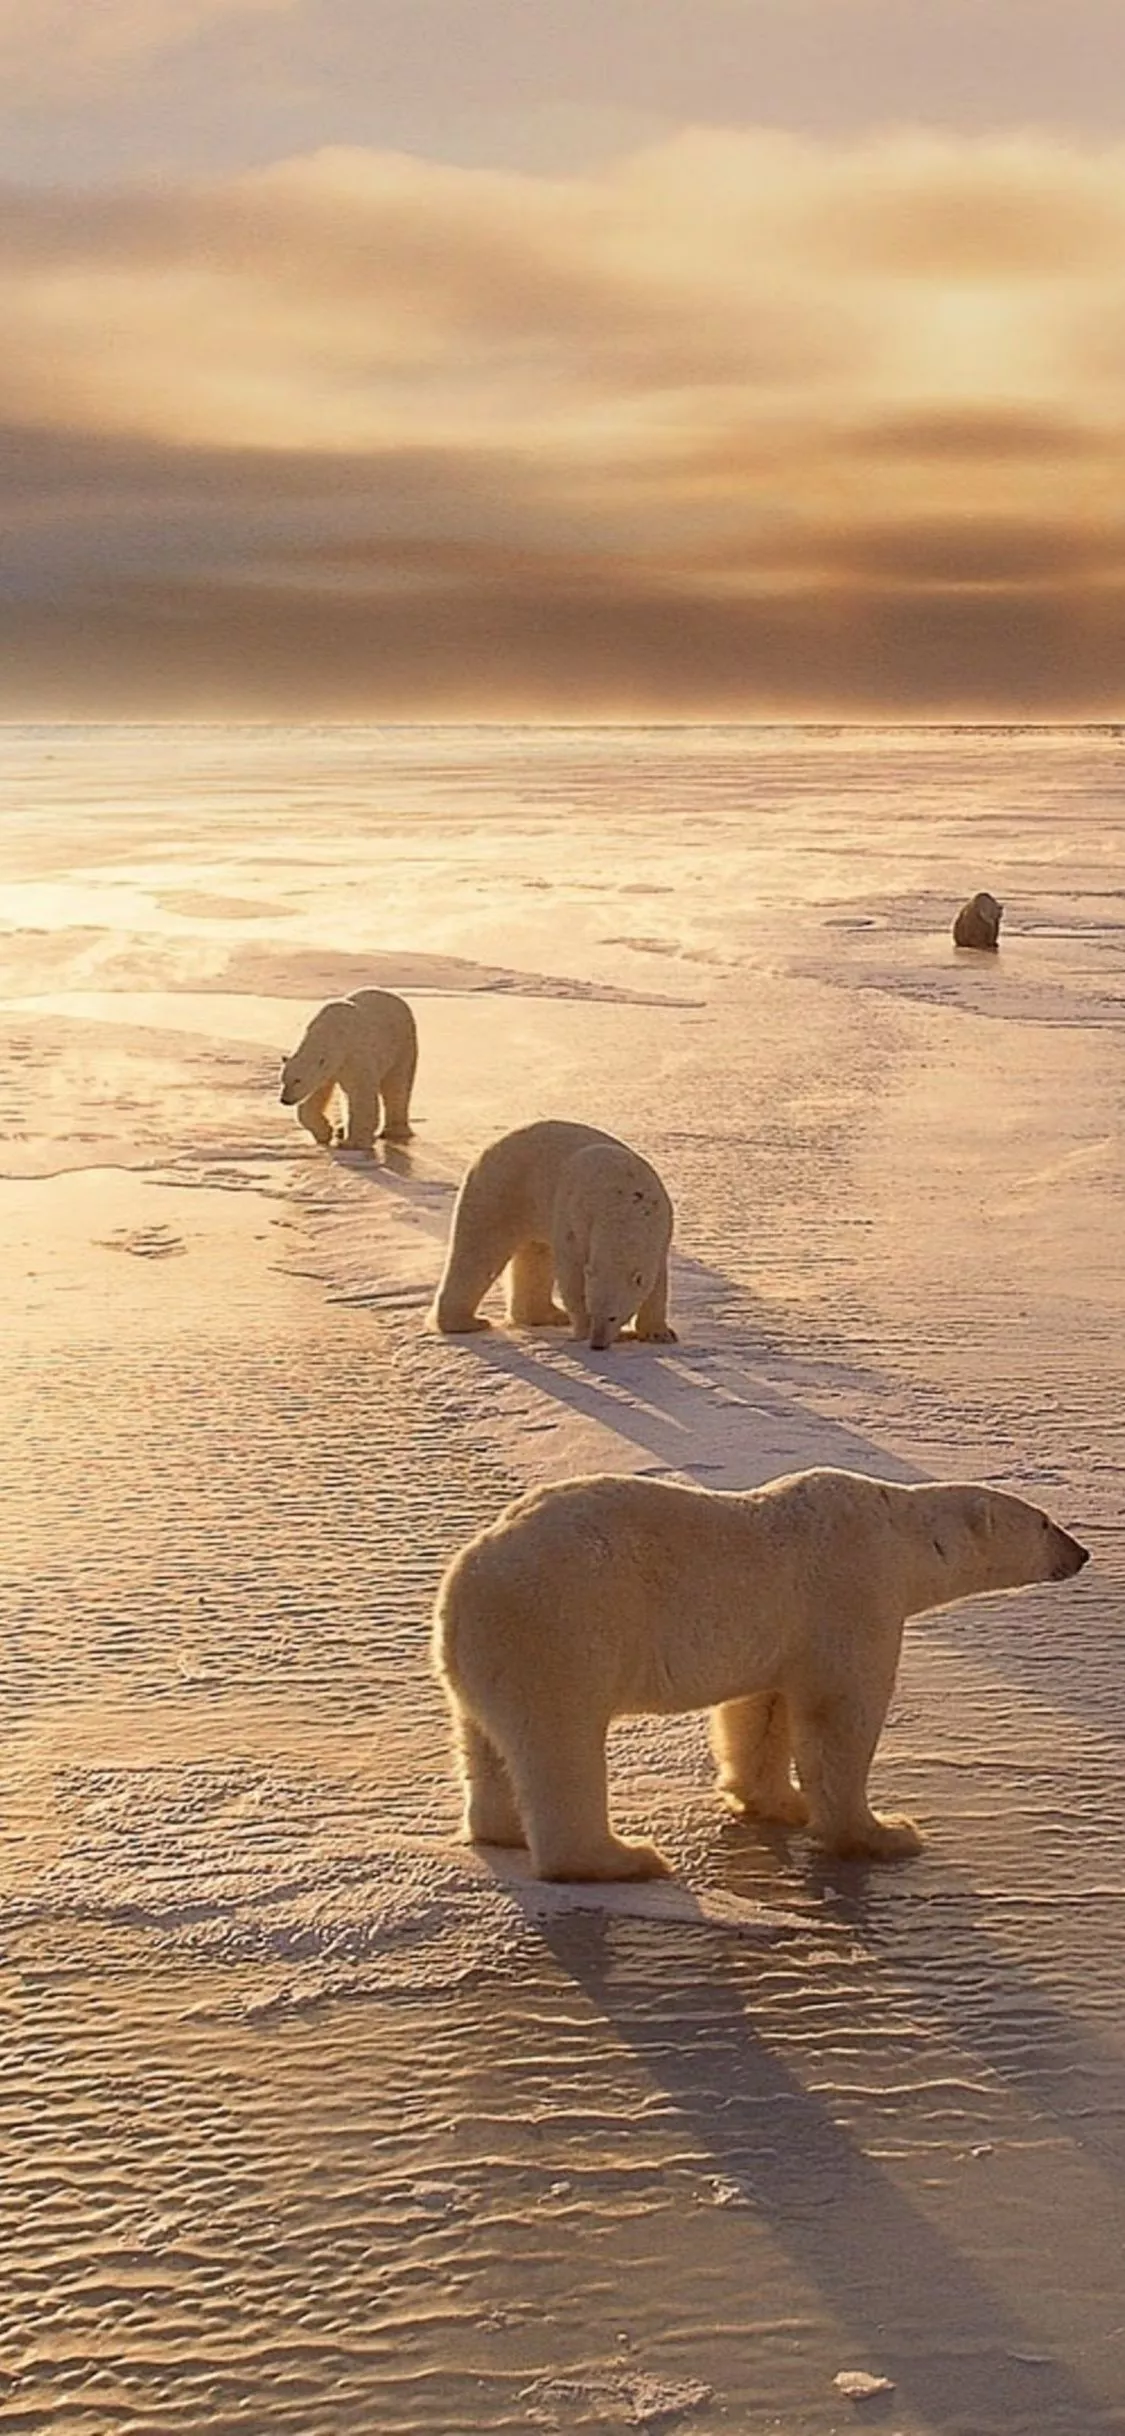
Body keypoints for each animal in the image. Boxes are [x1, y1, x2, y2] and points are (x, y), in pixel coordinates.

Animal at [279, 988, 417, 1152]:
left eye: (298, 1080)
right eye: (283, 1080)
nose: (285, 1100)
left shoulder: (354, 1054)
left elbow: (360, 1092)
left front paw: (354, 1142)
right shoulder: (330, 1069)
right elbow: (317, 1095)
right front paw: (325, 1132)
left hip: (402, 1044)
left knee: (397, 1085)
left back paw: (394, 1131)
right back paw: (341, 1129)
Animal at [429, 1119, 676, 1351]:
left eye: (613, 1316)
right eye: (594, 1311)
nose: (597, 1344)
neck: (625, 1207)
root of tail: (488, 1148)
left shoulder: (661, 1232)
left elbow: (656, 1285)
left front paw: (660, 1334)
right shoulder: (576, 1218)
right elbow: (572, 1274)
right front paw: (587, 1329)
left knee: (534, 1253)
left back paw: (547, 1315)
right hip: (501, 1190)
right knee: (479, 1251)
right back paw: (467, 1322)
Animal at [432, 1466, 1088, 1882]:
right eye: (1046, 1523)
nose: (1081, 1553)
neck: (898, 1533)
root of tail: (465, 1580)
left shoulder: (782, 1634)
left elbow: (762, 1711)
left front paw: (777, 1803)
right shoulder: (852, 1592)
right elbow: (840, 1718)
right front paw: (884, 1832)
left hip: (485, 1658)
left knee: (484, 1743)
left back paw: (499, 1831)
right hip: (560, 1631)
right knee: (561, 1747)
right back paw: (624, 1858)